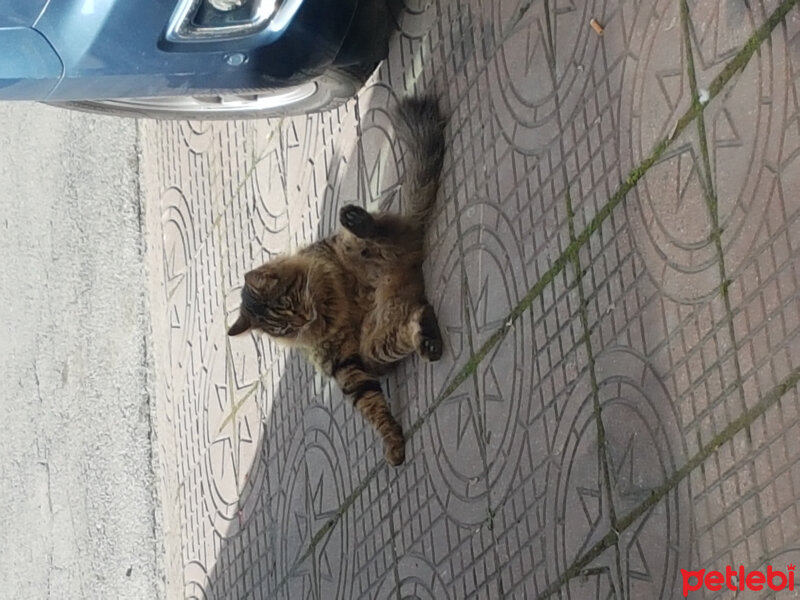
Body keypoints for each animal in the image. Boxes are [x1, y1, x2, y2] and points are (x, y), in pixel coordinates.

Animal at [228, 97, 446, 464]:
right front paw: (392, 442)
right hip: (375, 345)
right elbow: (371, 405)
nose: (304, 320)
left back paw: (359, 221)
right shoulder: (346, 365)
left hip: (355, 247)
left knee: (382, 232)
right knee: (415, 321)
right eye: (283, 326)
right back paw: (427, 337)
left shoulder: (322, 265)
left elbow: (323, 283)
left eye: (290, 302)